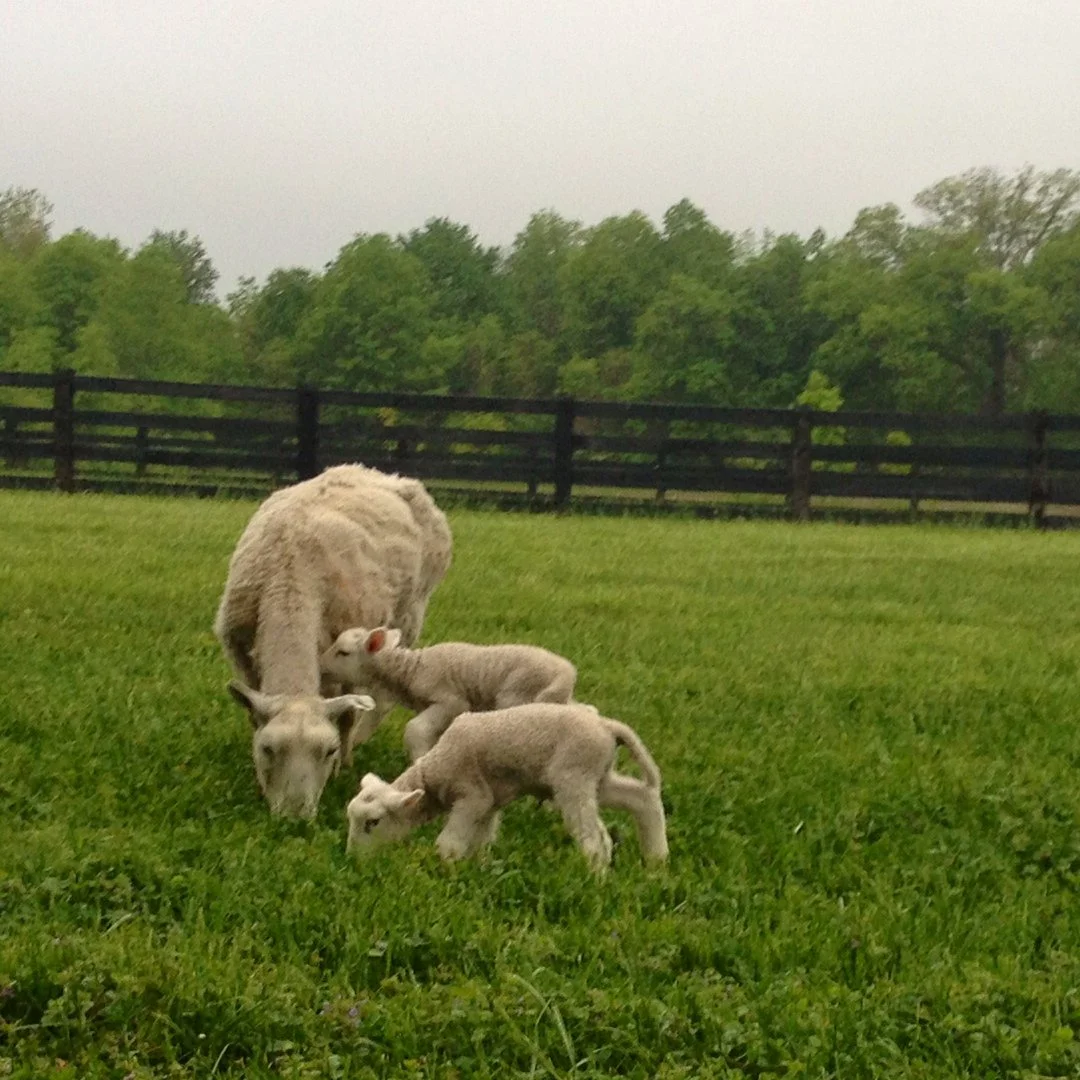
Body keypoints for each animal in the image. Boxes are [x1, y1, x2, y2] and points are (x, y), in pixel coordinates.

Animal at [214, 463, 453, 818]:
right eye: (267, 749)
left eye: (329, 750)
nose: (295, 818)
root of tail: (373, 471)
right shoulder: (242, 654)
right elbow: (252, 713)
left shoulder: (350, 657)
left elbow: (349, 715)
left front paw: (345, 764)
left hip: (411, 613)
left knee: (384, 696)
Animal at [320, 625, 577, 760]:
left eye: (343, 652)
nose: (321, 664)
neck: (410, 670)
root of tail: (567, 674)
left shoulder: (452, 702)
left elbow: (415, 729)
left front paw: (420, 761)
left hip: (517, 697)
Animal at [345, 702, 669, 873]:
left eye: (373, 822)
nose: (353, 861)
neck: (434, 771)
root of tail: (607, 727)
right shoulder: (489, 802)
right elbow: (481, 841)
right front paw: (478, 868)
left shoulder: (471, 796)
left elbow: (448, 843)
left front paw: (446, 872)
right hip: (598, 775)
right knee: (643, 799)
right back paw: (656, 860)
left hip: (574, 778)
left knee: (596, 839)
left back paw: (596, 877)